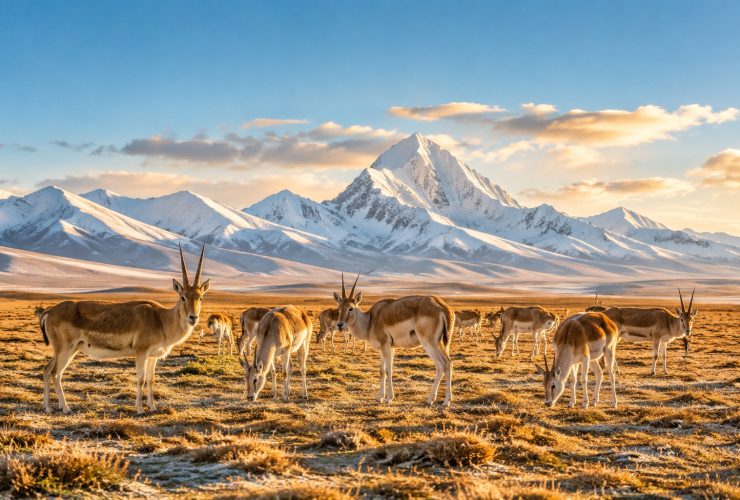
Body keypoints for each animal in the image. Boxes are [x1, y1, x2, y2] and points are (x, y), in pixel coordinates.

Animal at [36, 244, 210, 414]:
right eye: (183, 297)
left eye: (200, 297)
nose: (193, 317)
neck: (160, 319)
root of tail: (49, 311)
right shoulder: (141, 352)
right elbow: (140, 379)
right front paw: (140, 409)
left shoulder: (153, 357)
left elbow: (151, 380)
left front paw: (153, 407)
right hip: (65, 350)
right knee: (55, 373)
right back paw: (65, 408)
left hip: (67, 350)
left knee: (47, 370)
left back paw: (49, 407)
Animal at [333, 274, 455, 407]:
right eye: (339, 308)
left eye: (350, 308)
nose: (340, 325)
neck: (370, 320)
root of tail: (442, 306)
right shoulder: (386, 349)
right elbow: (382, 370)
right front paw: (380, 397)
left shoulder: (385, 346)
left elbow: (388, 371)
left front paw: (389, 398)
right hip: (441, 344)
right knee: (444, 365)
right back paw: (432, 399)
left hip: (429, 344)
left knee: (444, 364)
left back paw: (444, 401)